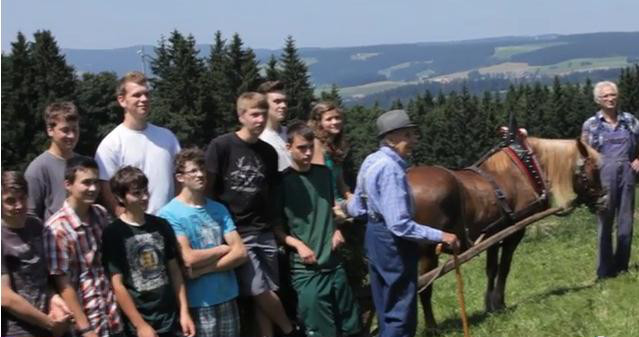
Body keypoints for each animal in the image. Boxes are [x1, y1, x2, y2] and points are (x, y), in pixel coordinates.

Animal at [408, 136, 608, 328]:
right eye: (593, 170)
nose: (604, 200)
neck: (524, 171)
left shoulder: (493, 235)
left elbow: (492, 269)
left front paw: (489, 305)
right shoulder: (514, 233)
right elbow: (504, 267)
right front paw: (500, 304)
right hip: (427, 252)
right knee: (425, 288)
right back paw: (432, 327)